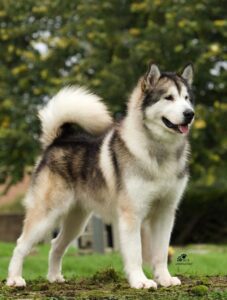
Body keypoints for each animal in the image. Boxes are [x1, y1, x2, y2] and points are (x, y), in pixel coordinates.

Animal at [7, 62, 195, 288]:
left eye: (186, 98)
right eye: (168, 97)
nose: (190, 114)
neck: (160, 153)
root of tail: (58, 140)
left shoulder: (165, 213)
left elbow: (160, 253)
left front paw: (164, 279)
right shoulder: (131, 214)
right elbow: (136, 253)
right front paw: (140, 281)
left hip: (77, 222)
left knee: (56, 244)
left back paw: (54, 277)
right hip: (47, 214)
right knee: (21, 244)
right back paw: (14, 279)